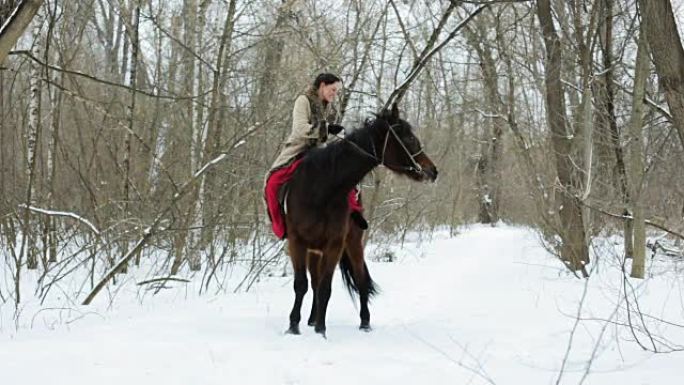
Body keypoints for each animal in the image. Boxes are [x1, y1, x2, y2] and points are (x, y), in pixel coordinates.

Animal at [284, 103, 438, 336]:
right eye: (409, 138)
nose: (432, 170)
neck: (322, 187)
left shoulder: (335, 243)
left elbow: (326, 287)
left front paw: (321, 330)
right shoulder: (296, 241)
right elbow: (301, 284)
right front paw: (294, 326)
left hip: (353, 243)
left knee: (360, 279)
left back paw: (364, 322)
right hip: (314, 250)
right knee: (315, 282)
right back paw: (310, 319)